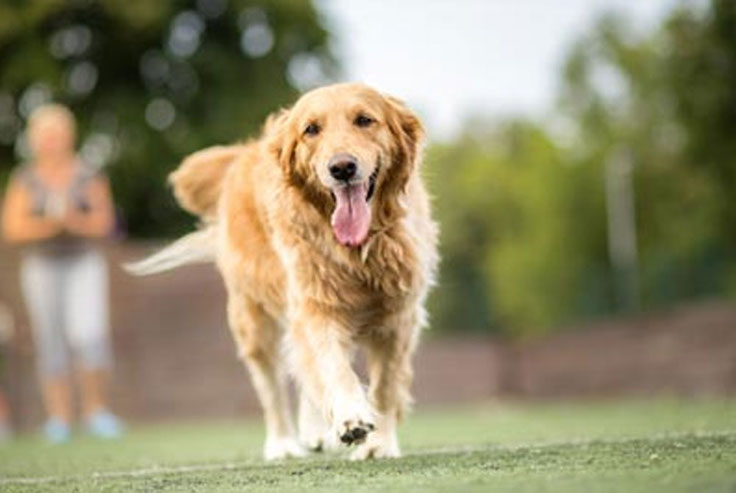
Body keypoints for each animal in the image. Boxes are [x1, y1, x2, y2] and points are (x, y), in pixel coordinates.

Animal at [129, 82, 436, 460]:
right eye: (311, 129)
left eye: (365, 120)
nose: (342, 168)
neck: (358, 250)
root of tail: (244, 152)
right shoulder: (316, 305)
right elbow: (333, 367)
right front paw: (350, 416)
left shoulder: (399, 317)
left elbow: (385, 387)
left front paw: (379, 444)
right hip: (253, 321)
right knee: (272, 387)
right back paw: (284, 444)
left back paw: (316, 432)